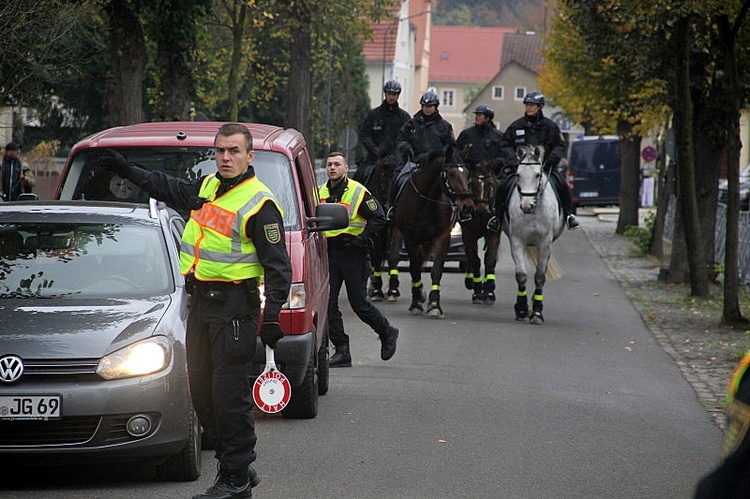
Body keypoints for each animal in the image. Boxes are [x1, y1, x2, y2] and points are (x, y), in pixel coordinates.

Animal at [390, 146, 472, 318]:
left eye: (467, 173)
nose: (467, 205)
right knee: (395, 256)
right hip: (397, 229)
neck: (426, 200)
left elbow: (436, 270)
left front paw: (434, 305)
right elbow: (414, 268)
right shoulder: (410, 238)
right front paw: (416, 303)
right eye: (451, 174)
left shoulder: (442, 236)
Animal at [462, 162, 502, 306]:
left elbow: (490, 260)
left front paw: (489, 292)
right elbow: (475, 260)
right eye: (472, 184)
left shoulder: (495, 233)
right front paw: (478, 292)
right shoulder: (469, 234)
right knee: (468, 254)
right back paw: (470, 281)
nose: (481, 210)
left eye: (490, 184)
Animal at [506, 146, 564, 324]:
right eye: (518, 174)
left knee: (542, 270)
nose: (526, 206)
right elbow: (521, 276)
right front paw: (521, 309)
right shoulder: (516, 241)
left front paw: (537, 312)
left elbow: (539, 276)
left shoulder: (545, 242)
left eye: (538, 174)